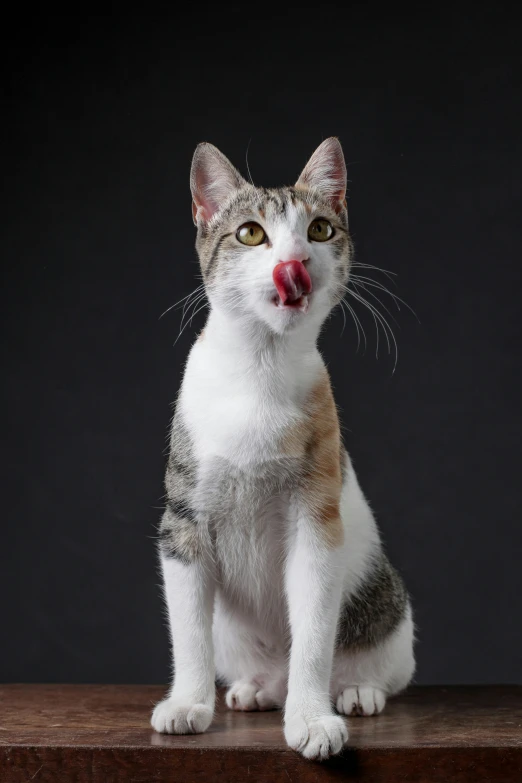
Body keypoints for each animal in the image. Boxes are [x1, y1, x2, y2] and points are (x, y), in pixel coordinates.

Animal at [150, 139, 414, 760]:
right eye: (250, 233)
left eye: (319, 229)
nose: (295, 261)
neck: (259, 371)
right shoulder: (182, 523)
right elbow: (188, 631)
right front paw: (188, 703)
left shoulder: (316, 520)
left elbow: (314, 632)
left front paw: (312, 719)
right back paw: (257, 689)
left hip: (391, 613)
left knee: (380, 667)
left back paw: (355, 692)